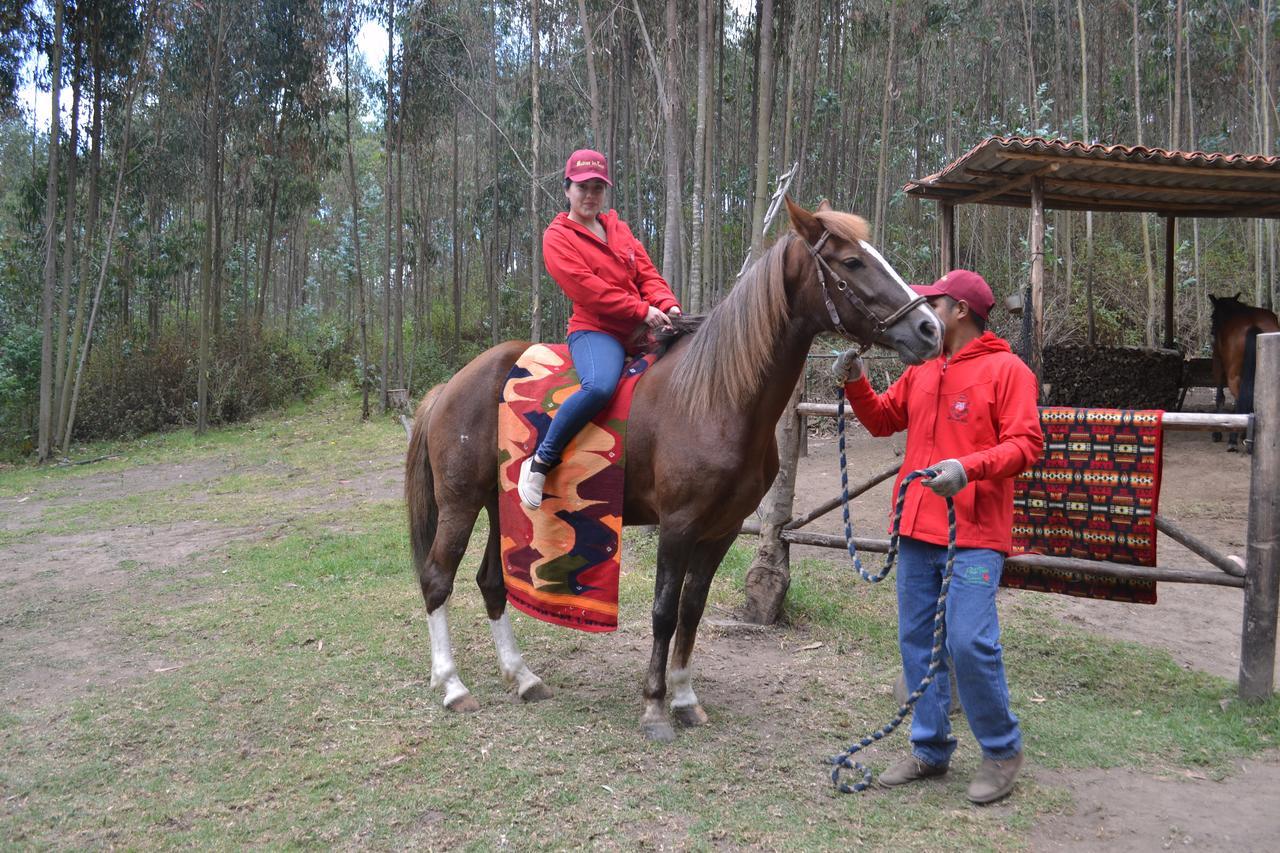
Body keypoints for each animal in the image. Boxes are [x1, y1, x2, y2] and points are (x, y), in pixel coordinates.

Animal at [404, 197, 947, 737]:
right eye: (851, 262)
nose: (930, 329)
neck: (713, 397)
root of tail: (452, 385)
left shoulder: (721, 529)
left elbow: (692, 609)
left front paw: (685, 698)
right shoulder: (679, 525)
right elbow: (664, 612)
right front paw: (654, 705)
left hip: (502, 508)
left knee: (491, 582)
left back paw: (522, 677)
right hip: (460, 504)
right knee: (437, 578)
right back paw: (452, 685)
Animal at [1208, 290, 1280, 450]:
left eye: (1213, 316)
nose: (1212, 331)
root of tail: (1253, 324)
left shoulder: (1217, 363)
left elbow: (1220, 397)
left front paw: (1217, 433)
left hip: (1233, 376)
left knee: (1239, 399)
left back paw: (1233, 440)